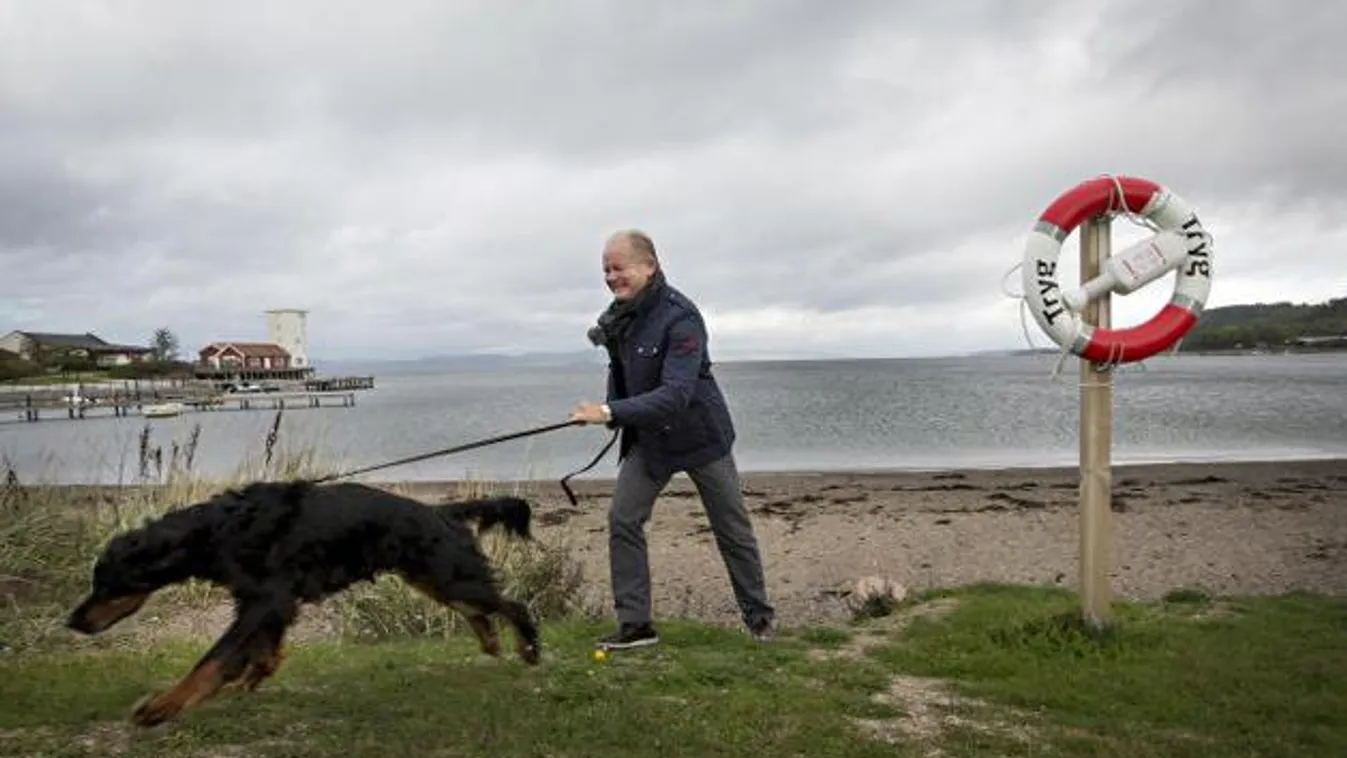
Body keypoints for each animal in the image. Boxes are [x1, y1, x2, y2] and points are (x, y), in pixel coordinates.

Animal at [66, 479, 541, 727]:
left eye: (105, 584)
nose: (73, 621)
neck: (217, 531)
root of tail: (443, 510)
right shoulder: (265, 601)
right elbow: (261, 652)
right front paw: (246, 683)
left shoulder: (267, 598)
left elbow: (215, 658)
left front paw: (165, 705)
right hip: (432, 577)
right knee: (480, 610)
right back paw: (492, 643)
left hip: (446, 573)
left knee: (513, 606)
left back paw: (529, 649)